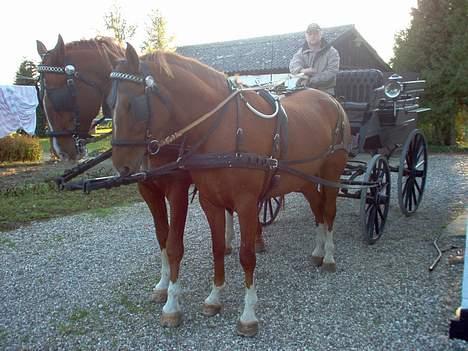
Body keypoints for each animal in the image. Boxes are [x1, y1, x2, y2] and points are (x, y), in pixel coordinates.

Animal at [36, 34, 239, 306]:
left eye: (56, 94)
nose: (61, 150)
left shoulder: (176, 188)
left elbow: (174, 243)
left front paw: (172, 300)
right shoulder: (148, 189)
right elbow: (162, 236)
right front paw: (163, 284)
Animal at [110, 44, 352, 338]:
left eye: (132, 105)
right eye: (110, 103)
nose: (121, 165)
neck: (222, 129)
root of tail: (331, 101)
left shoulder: (245, 203)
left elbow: (246, 256)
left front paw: (248, 315)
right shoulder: (209, 201)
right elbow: (216, 248)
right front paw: (214, 298)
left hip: (331, 172)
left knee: (328, 210)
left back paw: (328, 256)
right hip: (304, 178)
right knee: (317, 208)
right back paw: (317, 251)